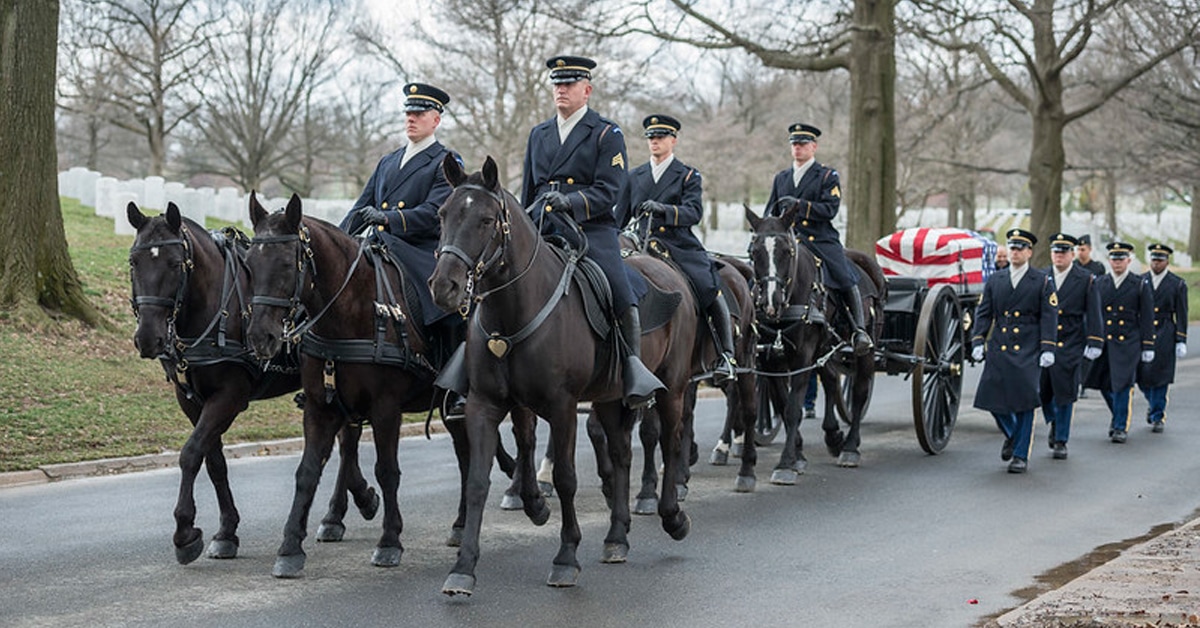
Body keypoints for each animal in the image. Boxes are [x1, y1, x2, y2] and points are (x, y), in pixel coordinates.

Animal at [129, 205, 376, 564]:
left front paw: (185, 531)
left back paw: (341, 509)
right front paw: (226, 531)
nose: (148, 337)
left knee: (346, 442)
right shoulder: (191, 401)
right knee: (345, 440)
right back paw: (344, 507)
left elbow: (190, 453)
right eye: (134, 262)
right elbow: (214, 462)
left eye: (175, 263)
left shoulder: (229, 397)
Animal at [244, 193, 520, 581]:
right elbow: (308, 471)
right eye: (249, 264)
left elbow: (387, 471)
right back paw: (461, 524)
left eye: (286, 264)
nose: (260, 337)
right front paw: (290, 547)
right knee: (465, 456)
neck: (353, 309)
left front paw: (389, 540)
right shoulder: (320, 407)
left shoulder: (385, 408)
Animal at [429, 156, 696, 595]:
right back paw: (617, 536)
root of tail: (669, 271)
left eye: (486, 220)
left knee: (671, 443)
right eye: (442, 214)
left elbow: (567, 477)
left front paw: (566, 556)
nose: (444, 287)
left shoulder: (563, 406)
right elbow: (480, 480)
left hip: (672, 387)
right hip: (610, 397)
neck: (514, 309)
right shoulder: (486, 404)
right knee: (621, 454)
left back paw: (672, 516)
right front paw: (464, 566)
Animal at [739, 204, 883, 485]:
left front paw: (785, 464)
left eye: (787, 251)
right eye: (754, 251)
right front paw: (798, 455)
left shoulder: (802, 358)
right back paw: (833, 436)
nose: (771, 301)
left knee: (859, 392)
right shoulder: (770, 360)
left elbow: (793, 408)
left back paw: (850, 447)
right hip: (825, 349)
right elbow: (783, 405)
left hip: (865, 352)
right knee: (830, 380)